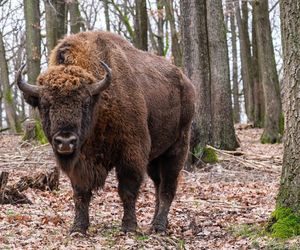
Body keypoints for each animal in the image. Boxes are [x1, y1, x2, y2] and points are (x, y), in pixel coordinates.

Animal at [17, 31, 195, 234]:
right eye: (45, 104)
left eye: (85, 103)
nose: (65, 141)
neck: (100, 103)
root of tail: (187, 83)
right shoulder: (80, 163)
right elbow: (80, 193)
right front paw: (78, 227)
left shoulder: (131, 154)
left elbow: (127, 190)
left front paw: (129, 227)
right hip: (155, 157)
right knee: (158, 185)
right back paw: (153, 223)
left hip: (177, 148)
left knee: (167, 187)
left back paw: (158, 226)